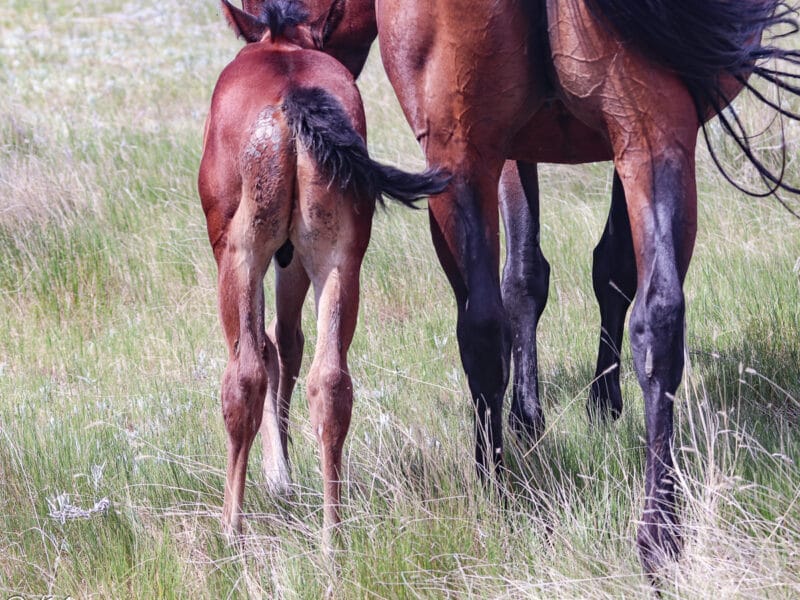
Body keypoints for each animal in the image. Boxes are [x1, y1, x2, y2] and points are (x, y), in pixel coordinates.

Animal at [198, 0, 450, 544]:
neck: (282, 46)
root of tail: (294, 99)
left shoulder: (255, 255)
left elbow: (268, 348)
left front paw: (278, 477)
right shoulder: (296, 257)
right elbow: (290, 344)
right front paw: (284, 472)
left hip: (240, 257)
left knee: (245, 375)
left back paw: (232, 530)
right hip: (339, 260)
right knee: (330, 382)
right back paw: (333, 535)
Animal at [376, 0, 800, 576]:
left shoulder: (514, 145)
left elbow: (540, 275)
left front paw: (551, 410)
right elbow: (559, 273)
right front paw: (558, 407)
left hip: (476, 147)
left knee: (485, 325)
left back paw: (499, 495)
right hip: (647, 125)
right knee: (656, 316)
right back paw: (657, 536)